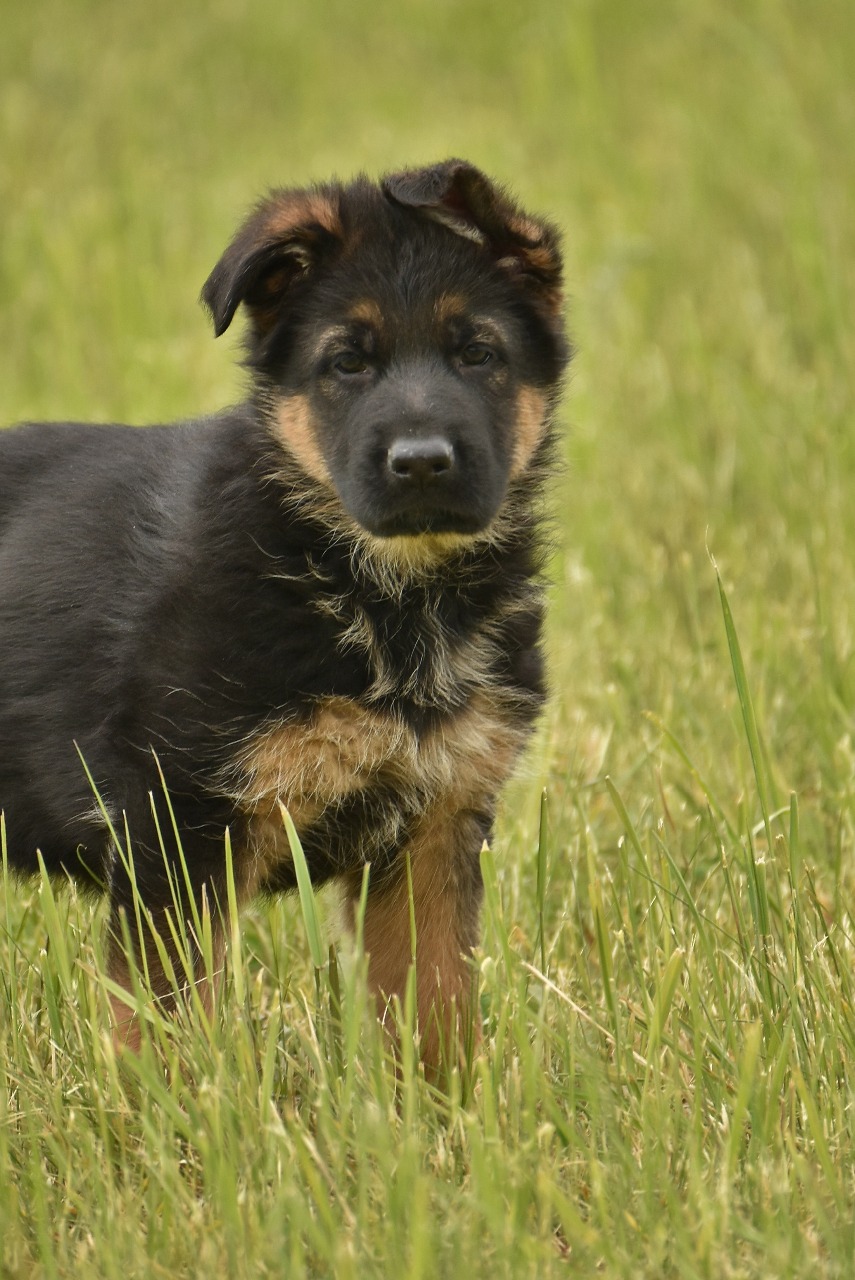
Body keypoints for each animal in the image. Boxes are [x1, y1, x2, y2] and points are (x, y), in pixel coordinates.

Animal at [0, 160, 568, 1066]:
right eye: (347, 363)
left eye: (478, 353)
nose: (421, 464)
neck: (380, 592)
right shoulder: (180, 830)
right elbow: (164, 1030)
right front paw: (175, 1107)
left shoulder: (432, 829)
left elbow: (437, 1013)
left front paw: (451, 1108)